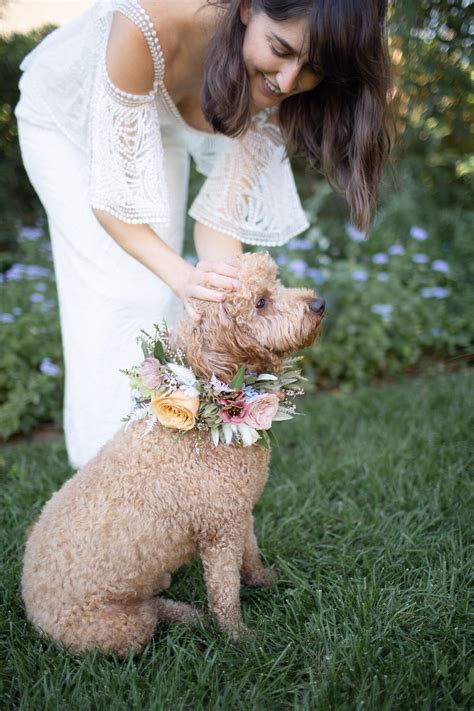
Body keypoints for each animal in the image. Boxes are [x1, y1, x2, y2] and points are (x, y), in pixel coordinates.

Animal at [23, 253, 326, 660]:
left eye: (276, 283)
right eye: (261, 302)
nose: (319, 303)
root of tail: (31, 608)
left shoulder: (238, 514)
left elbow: (251, 555)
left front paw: (265, 581)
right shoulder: (220, 532)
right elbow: (225, 593)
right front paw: (241, 640)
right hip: (120, 627)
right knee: (151, 612)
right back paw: (190, 616)